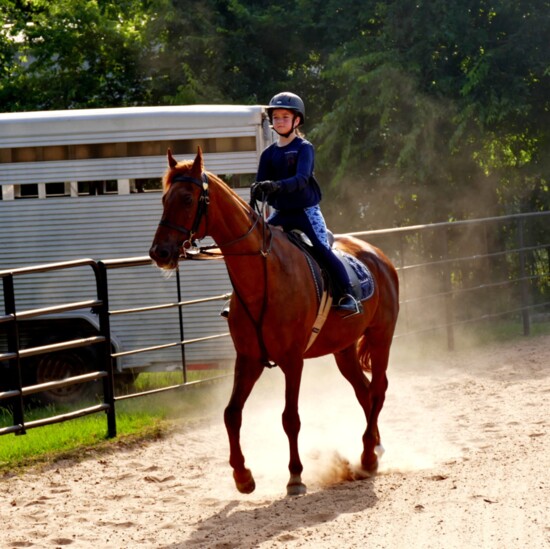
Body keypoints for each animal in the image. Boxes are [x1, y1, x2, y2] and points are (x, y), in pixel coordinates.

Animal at [151, 148, 402, 494]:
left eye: (187, 199)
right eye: (164, 199)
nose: (159, 252)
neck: (264, 275)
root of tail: (378, 255)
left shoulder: (292, 360)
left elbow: (290, 418)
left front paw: (295, 476)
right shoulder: (249, 359)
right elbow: (231, 413)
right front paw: (242, 476)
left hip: (381, 337)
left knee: (378, 389)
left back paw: (367, 456)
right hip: (344, 350)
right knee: (364, 392)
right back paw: (374, 449)